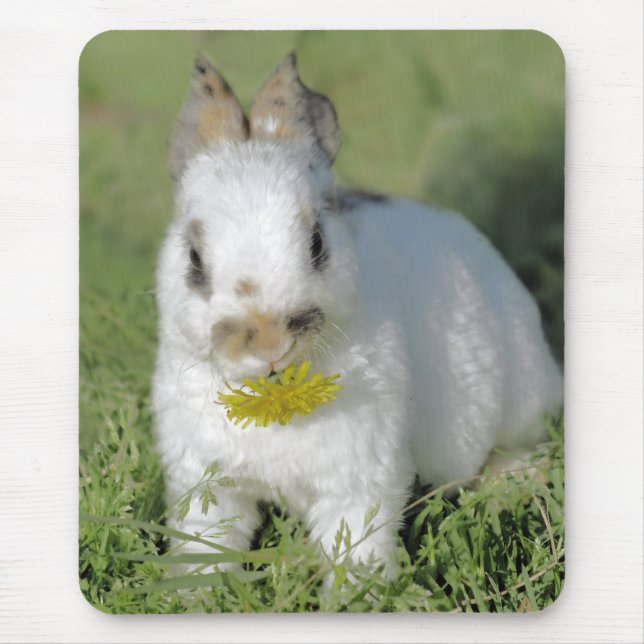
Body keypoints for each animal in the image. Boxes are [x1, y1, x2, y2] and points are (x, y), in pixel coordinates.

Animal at [151, 52, 563, 577]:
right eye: (194, 259)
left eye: (317, 243)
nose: (269, 342)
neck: (275, 394)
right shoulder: (206, 484)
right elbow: (204, 545)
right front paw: (193, 589)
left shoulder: (361, 481)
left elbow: (354, 546)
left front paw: (360, 589)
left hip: (520, 399)